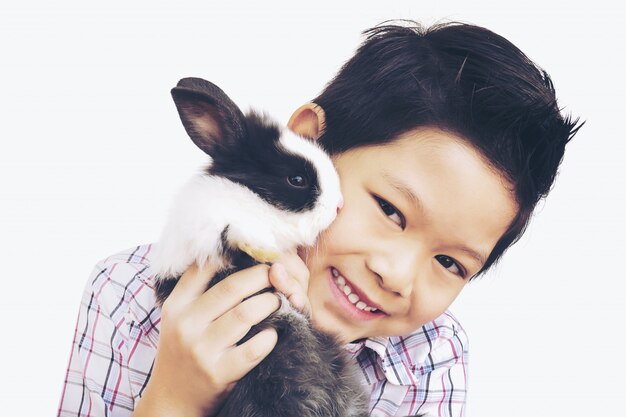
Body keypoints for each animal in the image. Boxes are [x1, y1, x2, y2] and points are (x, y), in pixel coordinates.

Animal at [149, 78, 368, 416]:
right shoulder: (205, 230)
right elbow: (232, 233)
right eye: (296, 179)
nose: (338, 206)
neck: (251, 200)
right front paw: (261, 249)